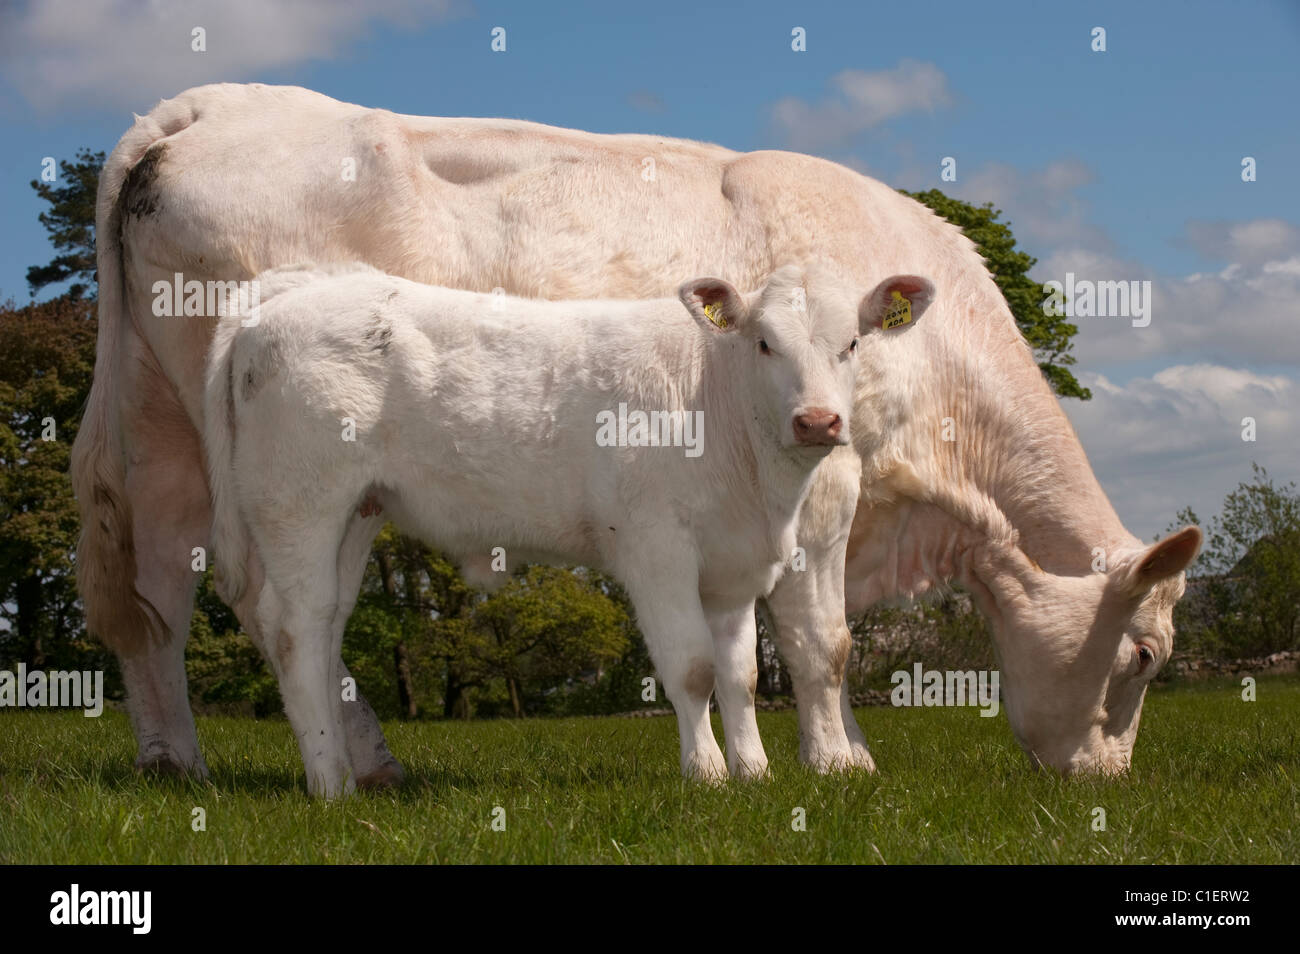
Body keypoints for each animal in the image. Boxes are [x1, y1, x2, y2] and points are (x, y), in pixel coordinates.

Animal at [200, 261, 935, 800]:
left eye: (852, 344)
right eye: (764, 343)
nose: (817, 422)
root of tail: (291, 290)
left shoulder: (732, 565)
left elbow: (742, 676)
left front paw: (753, 773)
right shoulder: (656, 547)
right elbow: (693, 668)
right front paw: (706, 776)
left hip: (357, 510)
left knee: (326, 623)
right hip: (300, 501)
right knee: (295, 627)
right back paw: (330, 785)